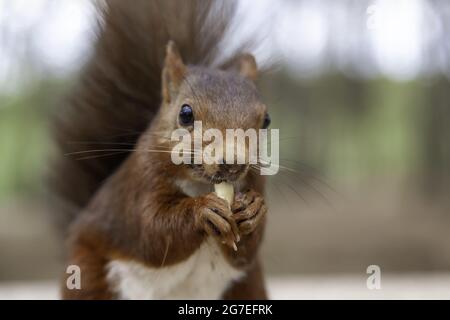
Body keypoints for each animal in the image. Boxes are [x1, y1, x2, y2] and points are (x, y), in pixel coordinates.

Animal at [52, 0, 270, 300]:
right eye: (185, 114)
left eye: (266, 121)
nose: (233, 163)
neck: (200, 184)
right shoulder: (140, 183)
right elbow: (151, 230)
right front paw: (202, 210)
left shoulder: (256, 181)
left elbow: (245, 252)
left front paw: (253, 209)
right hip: (87, 274)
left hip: (248, 286)